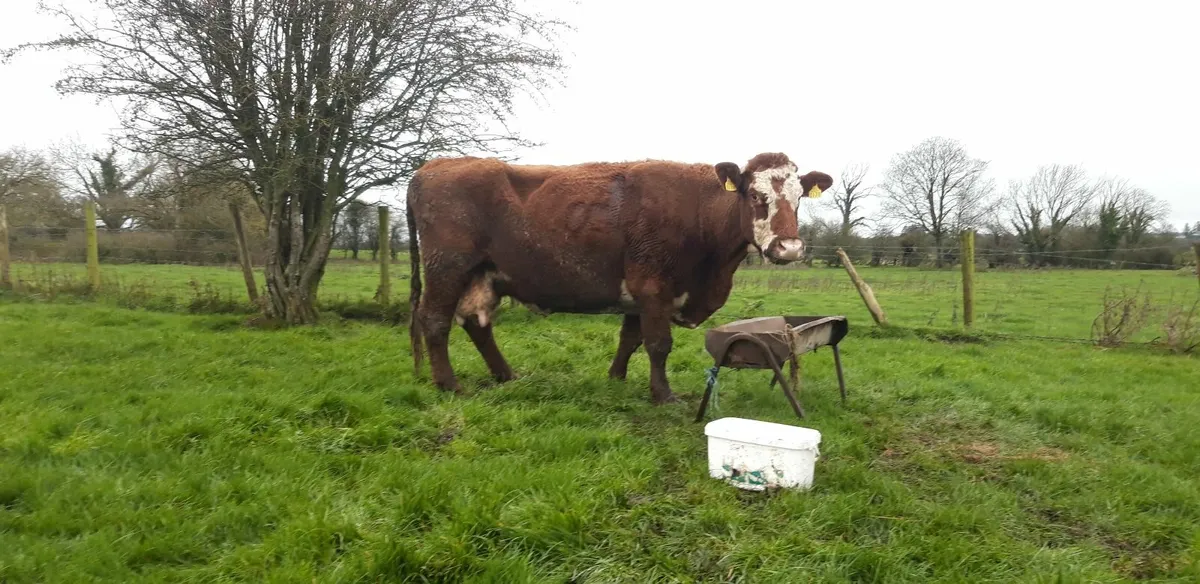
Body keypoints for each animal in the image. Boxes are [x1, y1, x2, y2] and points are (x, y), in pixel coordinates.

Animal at [405, 153, 833, 404]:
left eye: (798, 199)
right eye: (756, 196)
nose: (789, 248)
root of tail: (434, 165)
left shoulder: (639, 294)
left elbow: (631, 339)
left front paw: (616, 378)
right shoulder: (653, 286)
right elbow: (658, 345)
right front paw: (663, 394)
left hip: (485, 275)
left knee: (477, 323)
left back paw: (506, 375)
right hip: (447, 267)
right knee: (435, 320)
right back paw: (449, 384)